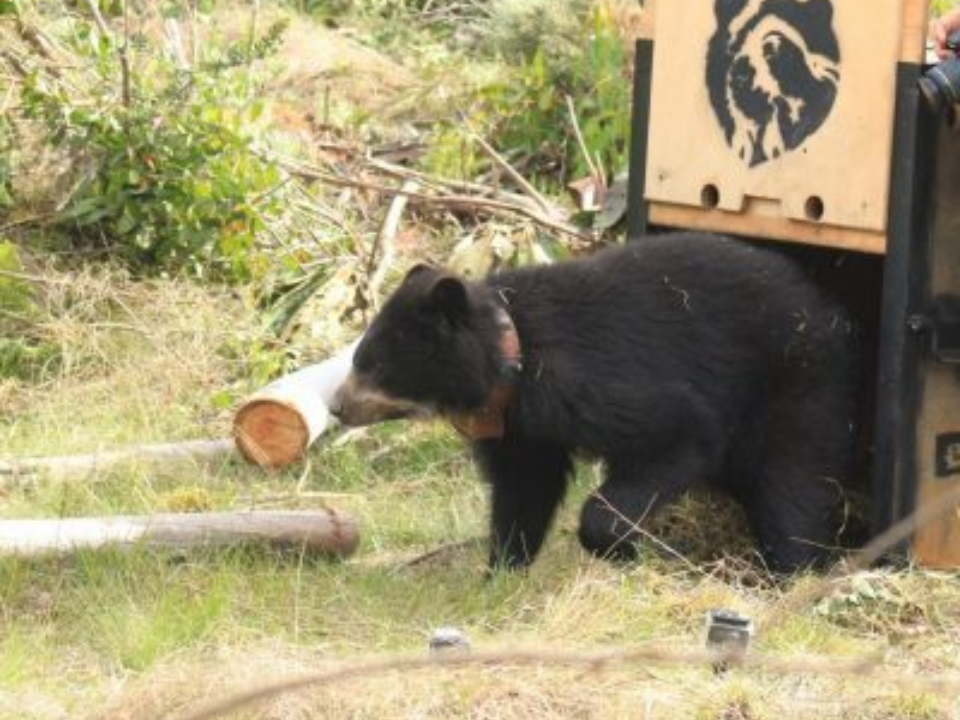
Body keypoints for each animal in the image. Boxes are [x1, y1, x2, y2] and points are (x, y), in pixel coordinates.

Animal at [334, 233, 860, 572]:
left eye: (375, 366)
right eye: (359, 358)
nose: (338, 407)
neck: (512, 358)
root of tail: (833, 313)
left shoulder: (587, 386)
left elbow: (677, 433)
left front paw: (614, 547)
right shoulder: (521, 425)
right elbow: (526, 485)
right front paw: (501, 570)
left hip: (795, 383)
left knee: (792, 482)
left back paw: (793, 570)